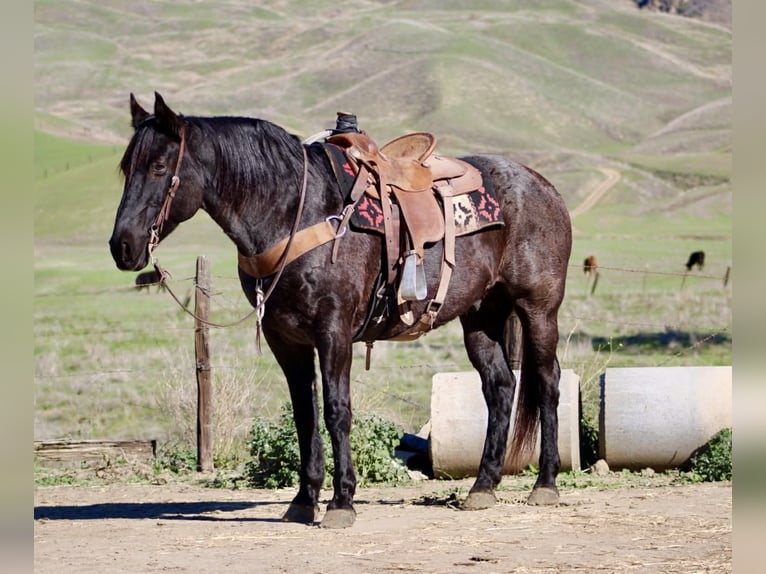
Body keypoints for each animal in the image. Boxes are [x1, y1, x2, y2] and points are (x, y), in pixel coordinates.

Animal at [109, 92, 572, 528]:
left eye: (158, 166)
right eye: (126, 167)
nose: (122, 246)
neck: (295, 211)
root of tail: (543, 186)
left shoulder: (333, 332)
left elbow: (336, 410)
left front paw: (341, 502)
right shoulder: (286, 340)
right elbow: (304, 414)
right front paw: (303, 500)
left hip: (538, 308)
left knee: (547, 383)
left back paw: (545, 483)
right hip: (481, 315)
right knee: (500, 387)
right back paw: (483, 486)